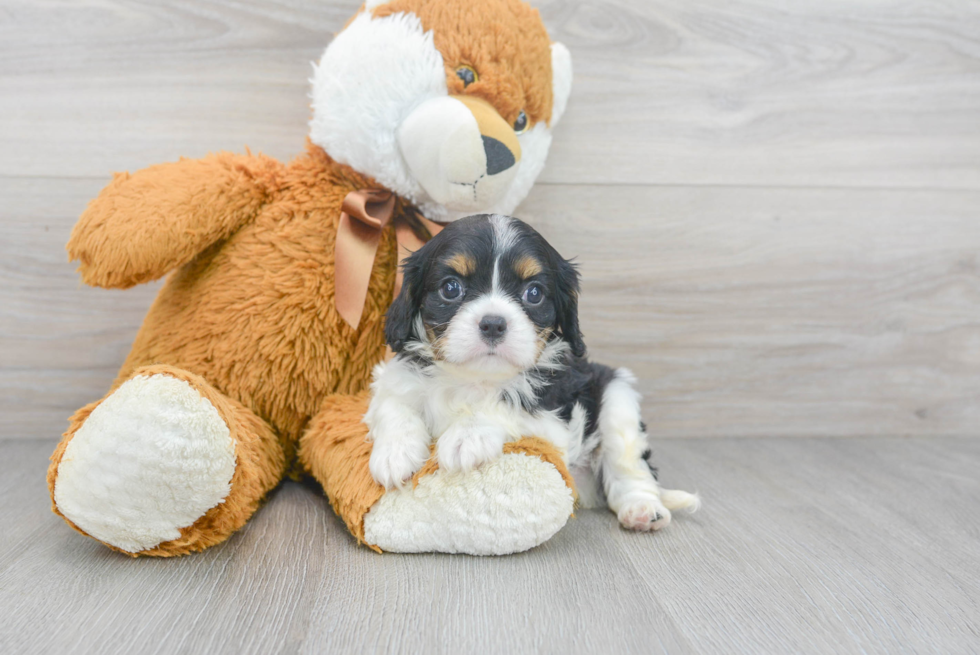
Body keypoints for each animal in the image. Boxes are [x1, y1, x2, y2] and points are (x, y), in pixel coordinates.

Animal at [366, 215, 696, 532]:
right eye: (450, 288)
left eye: (533, 293)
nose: (493, 323)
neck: (476, 378)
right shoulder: (395, 378)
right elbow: (395, 406)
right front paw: (394, 453)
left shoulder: (555, 422)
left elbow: (507, 406)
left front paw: (467, 436)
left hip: (617, 395)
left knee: (629, 466)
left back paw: (642, 509)